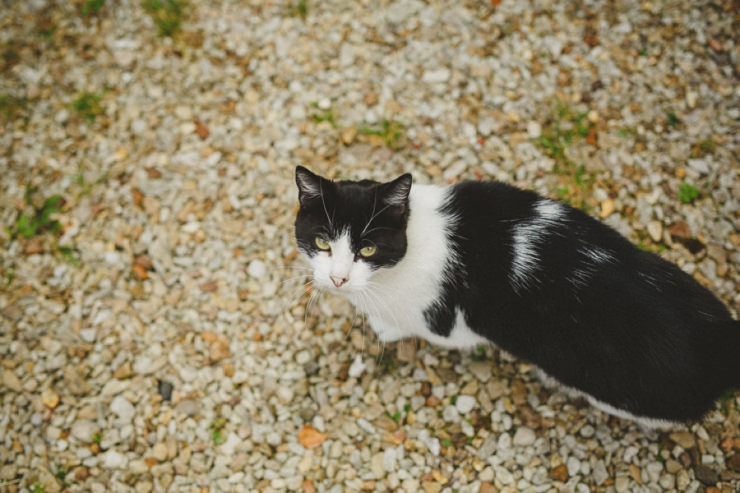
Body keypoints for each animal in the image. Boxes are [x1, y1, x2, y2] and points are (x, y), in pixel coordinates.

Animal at [294, 166, 740, 426]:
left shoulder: (448, 324)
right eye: (321, 242)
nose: (337, 279)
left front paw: (385, 327)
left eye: (368, 249)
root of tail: (721, 341)